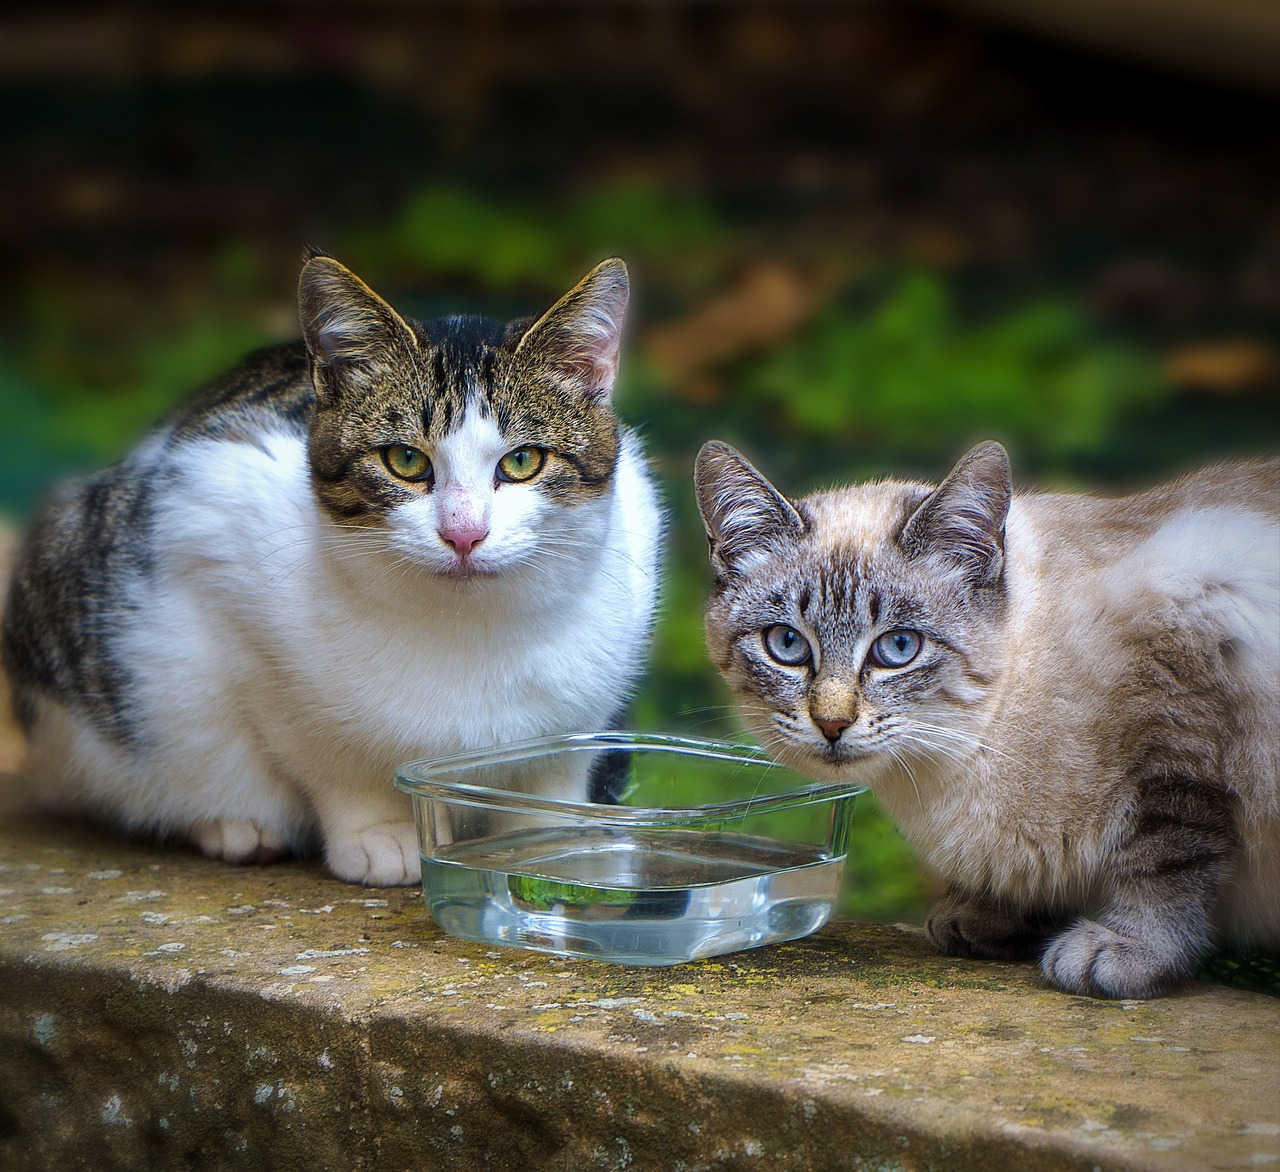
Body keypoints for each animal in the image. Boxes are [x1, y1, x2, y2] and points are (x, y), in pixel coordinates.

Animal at [0, 254, 660, 880]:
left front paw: (562, 844)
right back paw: (233, 826)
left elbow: (554, 782)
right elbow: (328, 756)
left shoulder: (587, 711)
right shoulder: (225, 572)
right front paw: (378, 833)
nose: (463, 534)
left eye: (523, 461)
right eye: (404, 460)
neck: (471, 631)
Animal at [701, 440, 1280, 997]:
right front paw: (986, 920)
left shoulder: (1180, 732)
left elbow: (1168, 862)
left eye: (898, 648)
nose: (832, 725)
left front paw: (1128, 954)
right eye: (787, 644)